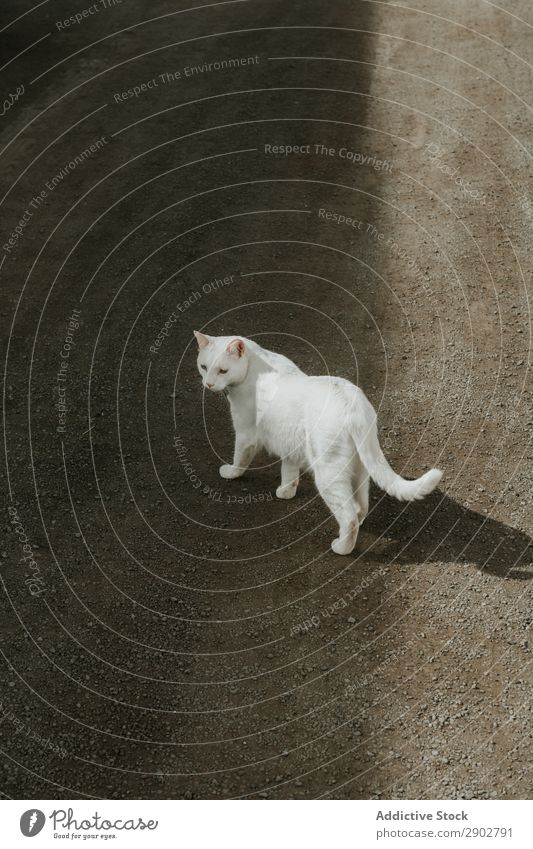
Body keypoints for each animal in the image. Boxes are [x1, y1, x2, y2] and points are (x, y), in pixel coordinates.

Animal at [192, 332, 440, 556]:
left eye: (222, 370)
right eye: (203, 366)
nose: (208, 384)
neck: (256, 365)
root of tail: (353, 404)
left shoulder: (245, 433)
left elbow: (239, 459)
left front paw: (231, 473)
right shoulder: (289, 442)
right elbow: (289, 471)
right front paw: (286, 491)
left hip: (328, 473)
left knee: (349, 515)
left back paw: (342, 547)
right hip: (359, 468)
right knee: (361, 506)